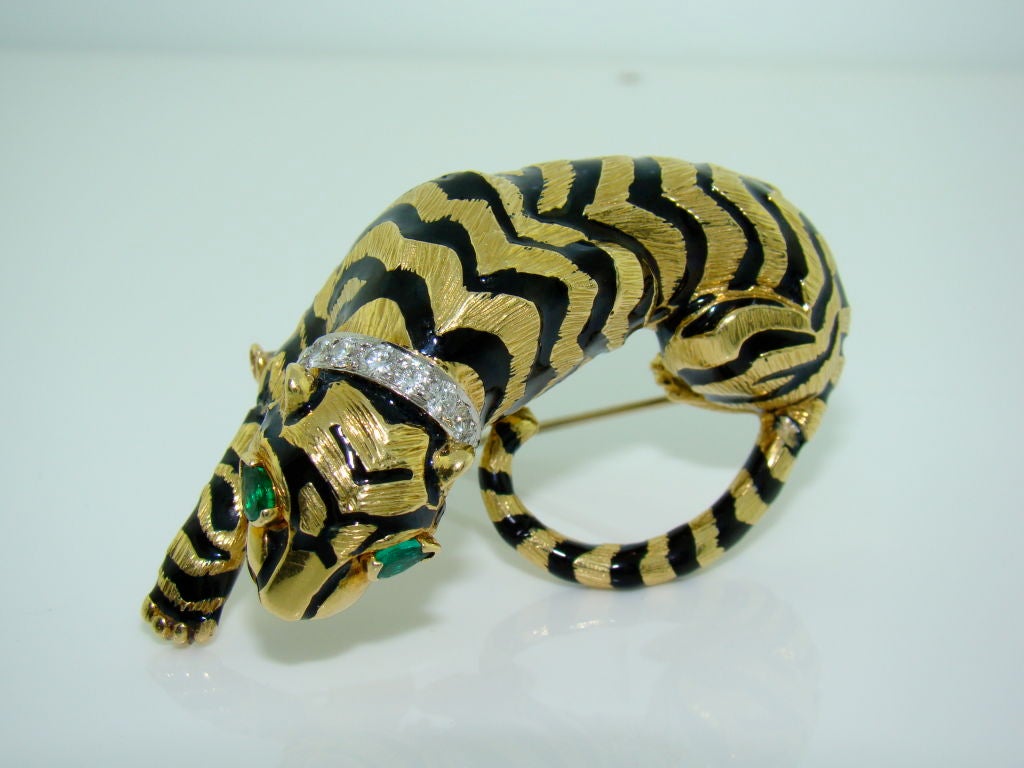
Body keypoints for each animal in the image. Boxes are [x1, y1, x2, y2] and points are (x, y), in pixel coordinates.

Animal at [142, 156, 850, 645]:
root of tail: (840, 328)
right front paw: (181, 608)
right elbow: (234, 463)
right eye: (267, 498)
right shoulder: (317, 328)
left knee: (770, 393)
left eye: (397, 560)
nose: (287, 608)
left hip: (714, 334)